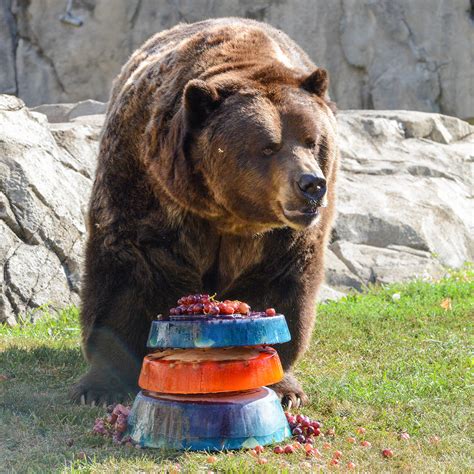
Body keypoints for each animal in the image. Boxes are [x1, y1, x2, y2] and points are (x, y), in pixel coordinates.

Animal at [69, 17, 336, 408]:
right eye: (268, 146)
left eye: (312, 140)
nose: (311, 184)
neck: (228, 215)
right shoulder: (147, 188)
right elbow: (126, 272)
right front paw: (100, 385)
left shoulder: (282, 239)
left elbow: (281, 286)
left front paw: (284, 388)